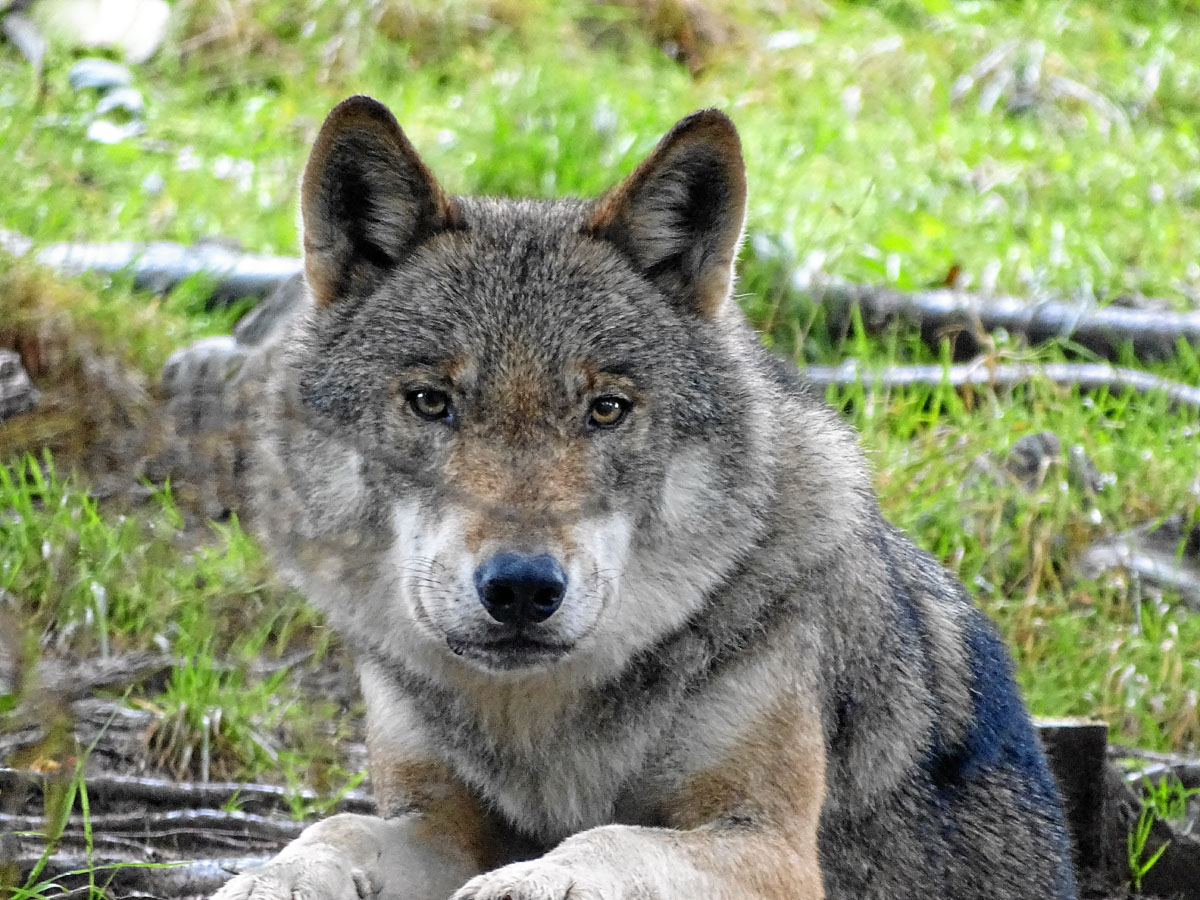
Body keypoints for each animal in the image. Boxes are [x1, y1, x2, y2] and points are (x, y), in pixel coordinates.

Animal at [208, 97, 1080, 900]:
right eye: (430, 402)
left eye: (606, 408)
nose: (521, 588)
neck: (540, 723)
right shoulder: (435, 815)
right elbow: (337, 827)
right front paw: (275, 877)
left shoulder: (770, 846)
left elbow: (610, 838)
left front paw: (535, 881)